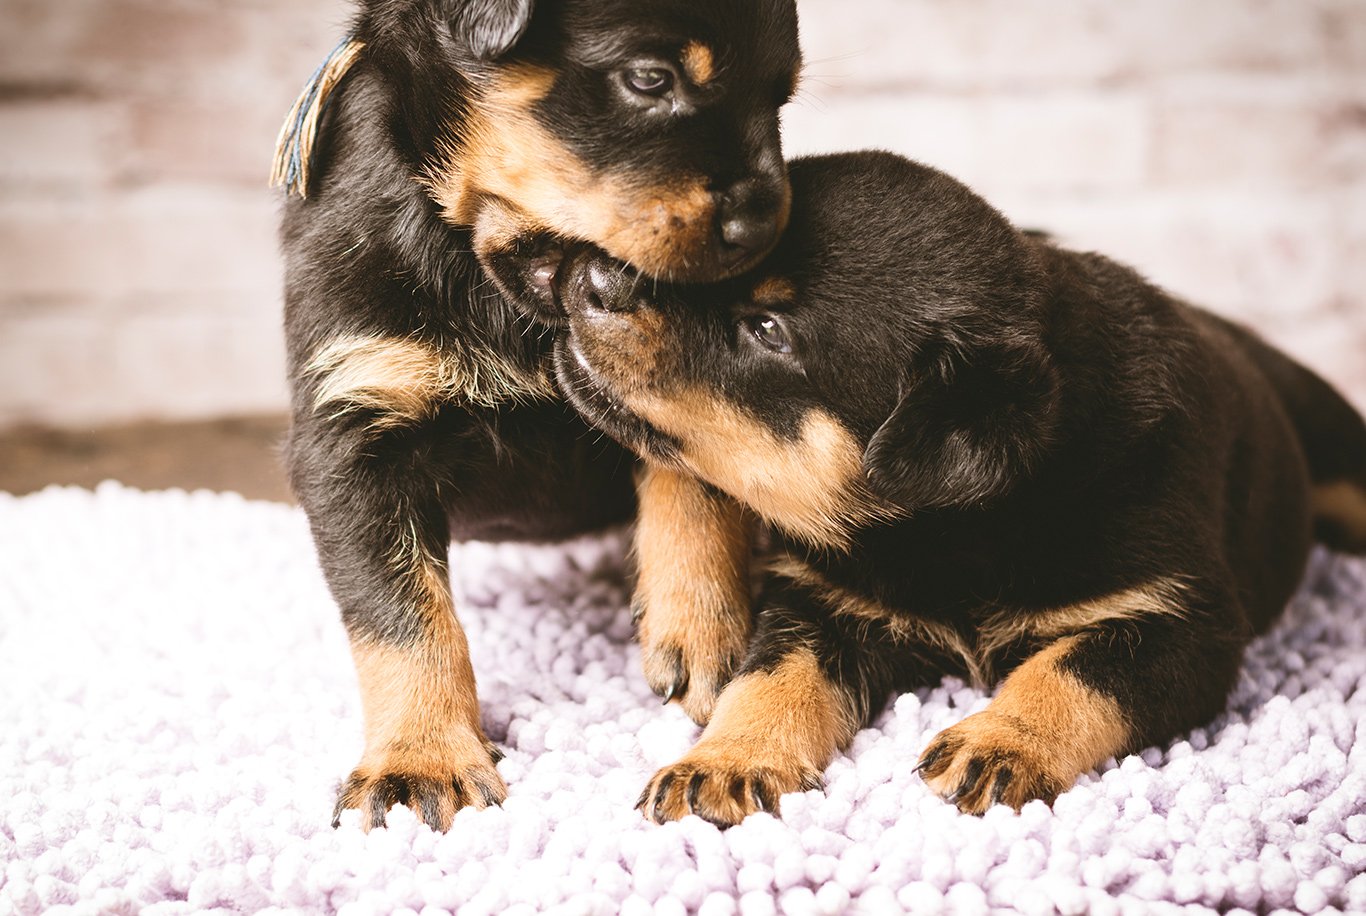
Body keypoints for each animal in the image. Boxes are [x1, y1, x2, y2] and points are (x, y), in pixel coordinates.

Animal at [274, 0, 802, 831]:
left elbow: (692, 486)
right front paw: (419, 761)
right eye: (649, 79)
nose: (763, 228)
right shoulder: (354, 426)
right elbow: (403, 618)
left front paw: (700, 627)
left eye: (782, 98)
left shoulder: (681, 373)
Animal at [525, 150, 1366, 826]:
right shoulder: (821, 604)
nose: (592, 271)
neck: (957, 528)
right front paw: (725, 762)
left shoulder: (1183, 622)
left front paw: (999, 744)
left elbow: (1070, 671)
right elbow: (767, 680)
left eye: (769, 329)